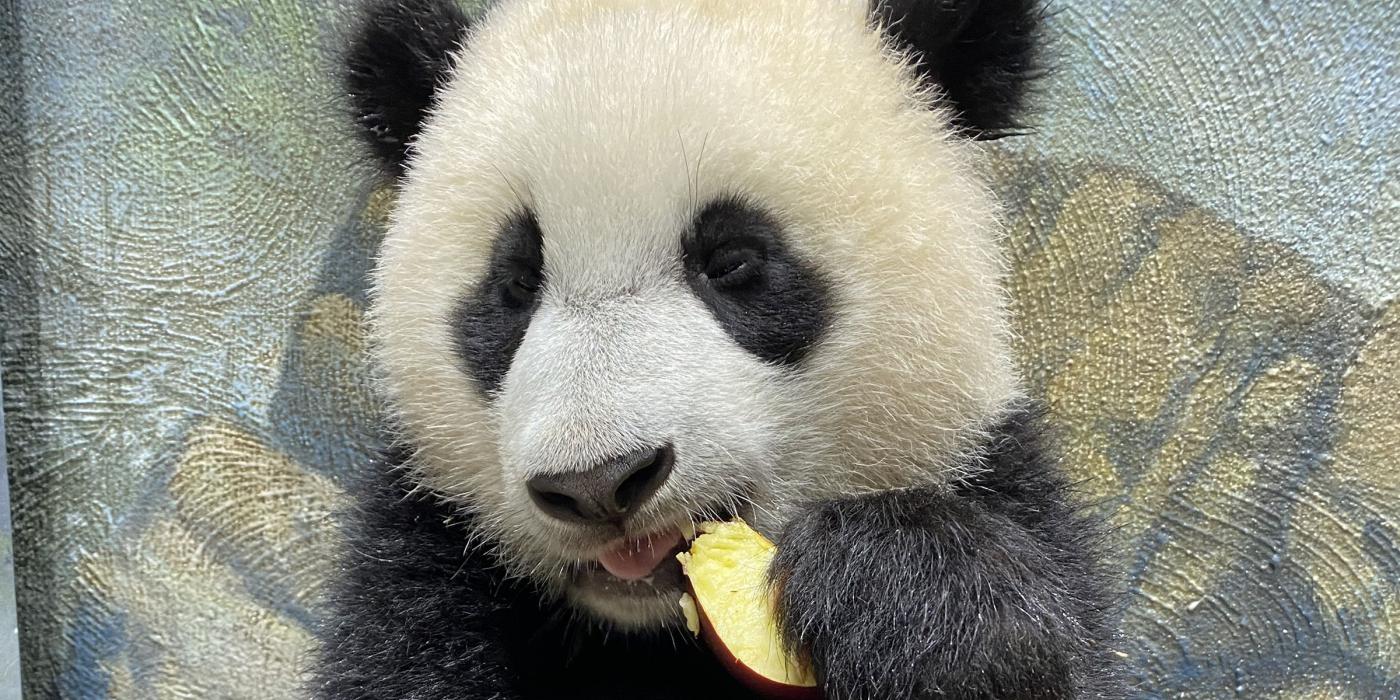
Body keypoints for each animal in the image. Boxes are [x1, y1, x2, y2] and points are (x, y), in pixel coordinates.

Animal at [315, 0, 1125, 697]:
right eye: (515, 282)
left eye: (731, 261)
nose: (598, 482)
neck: (648, 627)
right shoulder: (418, 556)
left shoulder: (995, 475)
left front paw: (899, 593)